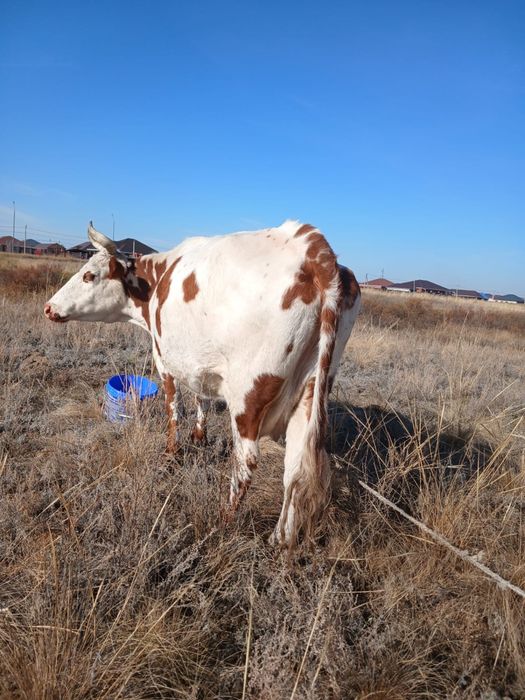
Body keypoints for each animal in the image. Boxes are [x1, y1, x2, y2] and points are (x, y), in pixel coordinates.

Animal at [44, 221, 360, 545]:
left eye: (89, 275)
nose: (49, 306)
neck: (156, 282)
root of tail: (314, 252)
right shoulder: (201, 362)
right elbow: (202, 397)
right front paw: (199, 436)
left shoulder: (164, 358)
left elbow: (173, 409)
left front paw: (171, 454)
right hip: (311, 389)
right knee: (295, 468)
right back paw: (280, 540)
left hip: (249, 393)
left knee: (246, 461)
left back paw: (223, 523)